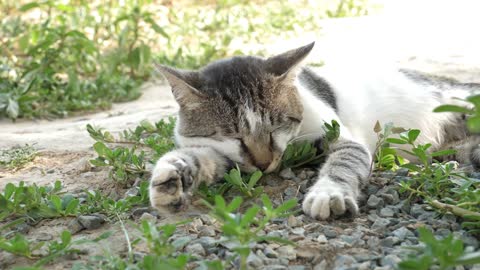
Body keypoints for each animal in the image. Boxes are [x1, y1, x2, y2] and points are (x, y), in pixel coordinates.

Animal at [148, 41, 478, 219]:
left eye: (277, 126)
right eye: (232, 136)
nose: (265, 164)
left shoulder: (343, 138)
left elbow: (344, 163)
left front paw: (329, 193)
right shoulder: (228, 157)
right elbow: (201, 157)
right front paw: (172, 176)